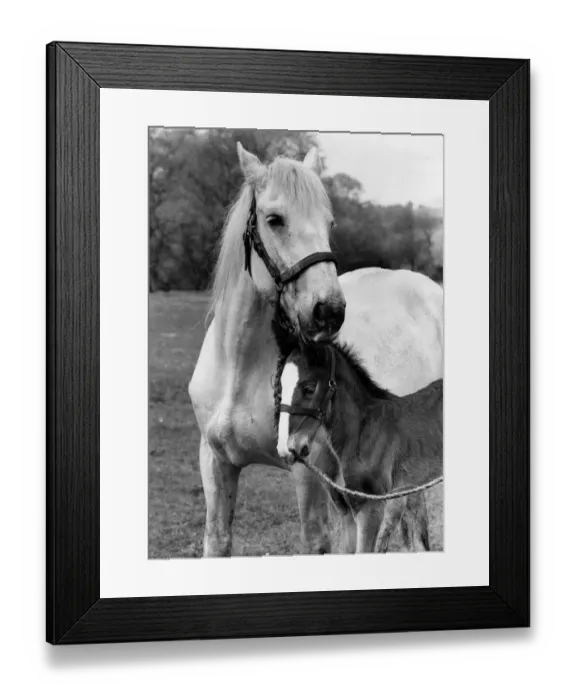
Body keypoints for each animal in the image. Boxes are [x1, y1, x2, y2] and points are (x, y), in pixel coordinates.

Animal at [276, 341, 444, 553]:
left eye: (309, 388)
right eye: (281, 387)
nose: (285, 448)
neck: (362, 432)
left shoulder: (370, 508)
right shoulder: (347, 510)